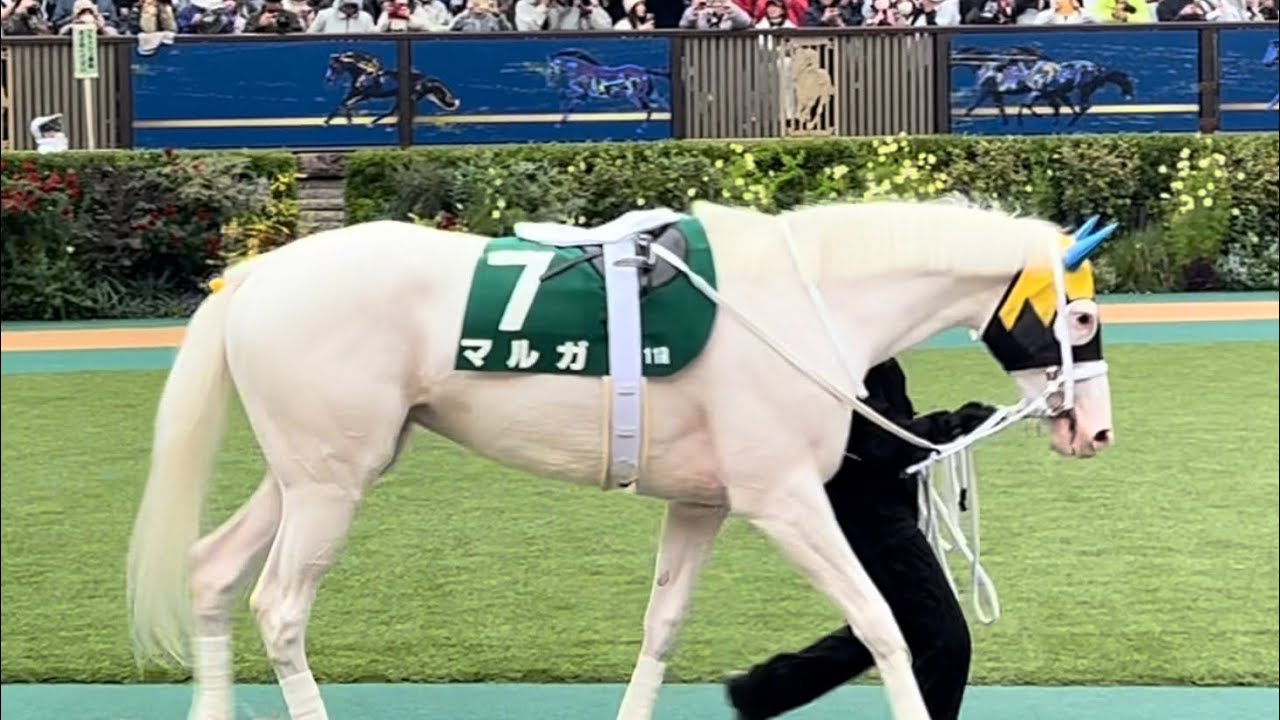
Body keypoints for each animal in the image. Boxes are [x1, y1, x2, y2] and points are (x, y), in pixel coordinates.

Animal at [125, 199, 1117, 720]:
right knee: (279, 609)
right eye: (1080, 316)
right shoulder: (786, 499)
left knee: (212, 570)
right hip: (332, 486)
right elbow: (884, 627)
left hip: (311, 474)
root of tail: (255, 274)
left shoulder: (701, 504)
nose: (1097, 433)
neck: (806, 303)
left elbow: (661, 630)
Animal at [322, 50, 461, 127]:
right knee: (401, 113)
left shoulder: (366, 95)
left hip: (406, 98)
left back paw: (380, 124)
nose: (328, 79)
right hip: (405, 98)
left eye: (334, 67)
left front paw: (349, 119)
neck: (364, 73)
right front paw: (328, 120)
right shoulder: (354, 93)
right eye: (330, 66)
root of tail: (426, 79)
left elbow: (347, 104)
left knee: (399, 113)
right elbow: (342, 103)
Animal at [540, 49, 670, 124]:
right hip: (650, 93)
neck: (580, 71)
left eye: (550, 69)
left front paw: (561, 118)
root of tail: (644, 71)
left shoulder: (582, 92)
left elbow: (566, 95)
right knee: (661, 103)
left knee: (649, 108)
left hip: (635, 96)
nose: (549, 84)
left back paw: (641, 127)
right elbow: (569, 103)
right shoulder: (582, 96)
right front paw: (562, 119)